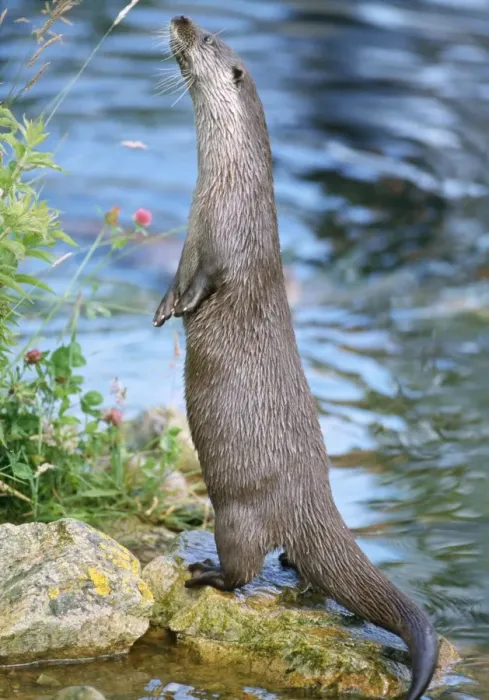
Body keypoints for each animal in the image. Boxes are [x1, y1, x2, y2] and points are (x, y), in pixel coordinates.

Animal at [153, 15, 439, 700]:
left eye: (206, 40)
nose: (180, 20)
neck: (224, 190)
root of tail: (315, 500)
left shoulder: (224, 249)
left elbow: (206, 286)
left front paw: (183, 311)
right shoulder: (187, 243)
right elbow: (175, 283)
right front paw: (161, 310)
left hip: (238, 511)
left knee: (241, 567)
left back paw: (205, 572)